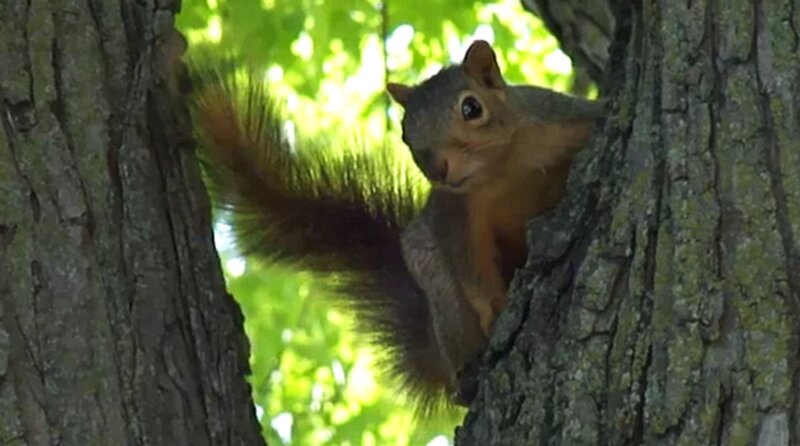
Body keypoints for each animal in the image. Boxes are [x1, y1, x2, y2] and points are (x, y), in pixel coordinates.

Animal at [191, 40, 604, 412]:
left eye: (471, 108)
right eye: (406, 134)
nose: (439, 169)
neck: (503, 166)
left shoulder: (566, 121)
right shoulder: (454, 213)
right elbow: (469, 267)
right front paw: (495, 308)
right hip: (439, 290)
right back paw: (467, 374)